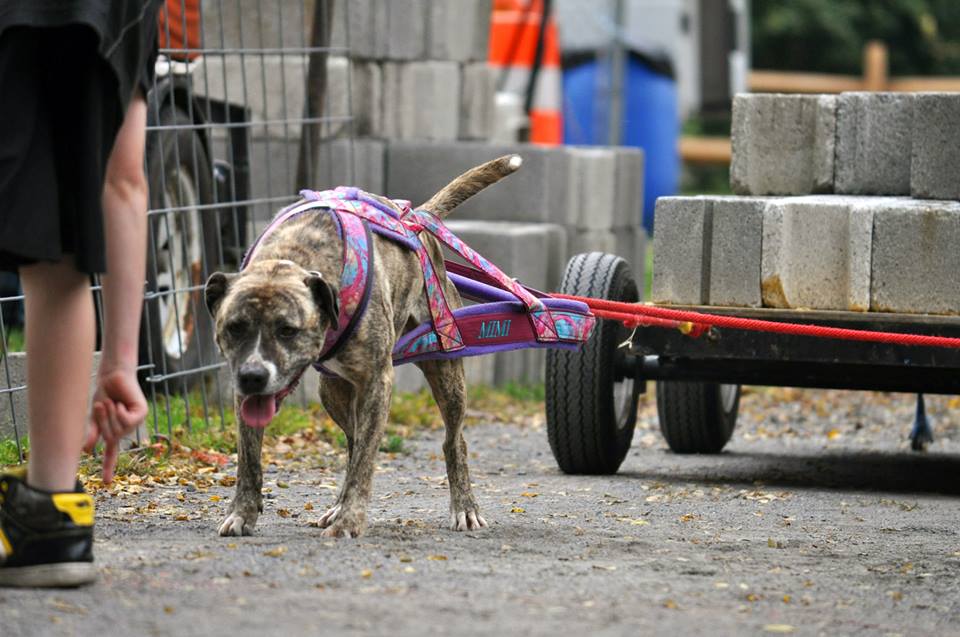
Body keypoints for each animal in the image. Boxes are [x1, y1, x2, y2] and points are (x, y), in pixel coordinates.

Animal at [204, 154, 524, 536]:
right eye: (234, 328)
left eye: (287, 330)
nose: (253, 376)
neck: (294, 255)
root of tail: (417, 217)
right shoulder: (245, 393)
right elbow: (249, 459)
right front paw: (242, 512)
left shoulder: (376, 380)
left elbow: (365, 462)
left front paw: (349, 521)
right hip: (331, 390)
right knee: (353, 440)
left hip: (446, 368)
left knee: (452, 440)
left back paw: (464, 507)